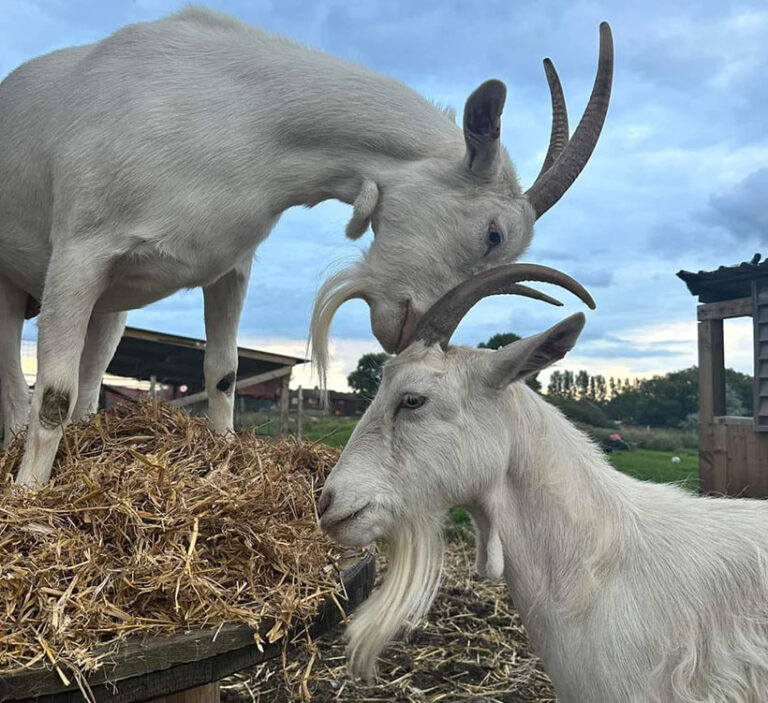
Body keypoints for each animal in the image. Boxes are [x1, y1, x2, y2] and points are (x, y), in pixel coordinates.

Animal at [0, 6, 612, 490]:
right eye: (494, 234)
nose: (410, 332)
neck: (241, 118)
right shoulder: (81, 252)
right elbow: (50, 392)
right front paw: (33, 495)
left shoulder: (231, 267)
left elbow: (223, 371)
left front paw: (224, 461)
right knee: (17, 379)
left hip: (113, 302)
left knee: (92, 375)